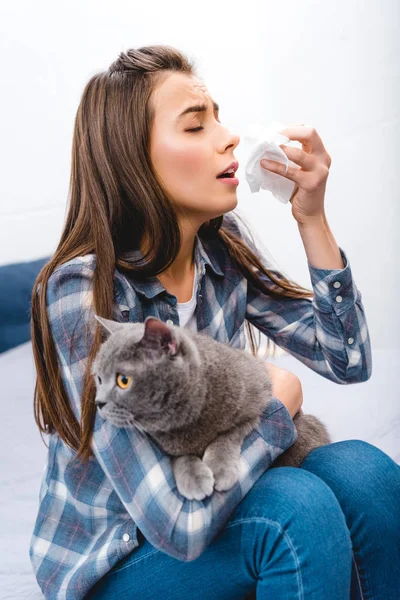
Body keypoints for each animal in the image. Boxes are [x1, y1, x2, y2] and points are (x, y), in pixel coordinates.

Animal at [90, 316, 332, 500]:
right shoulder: (171, 447)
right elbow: (181, 457)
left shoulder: (257, 404)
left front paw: (219, 468)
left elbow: (227, 436)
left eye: (123, 381)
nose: (98, 402)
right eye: (99, 379)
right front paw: (194, 479)